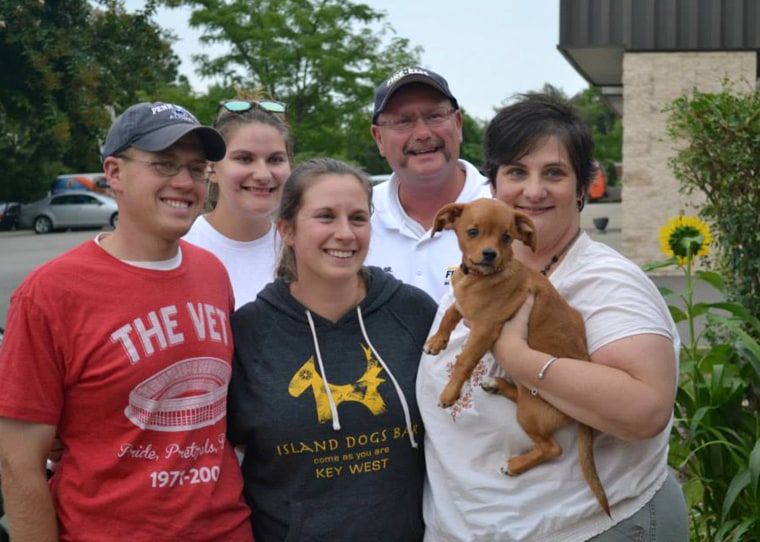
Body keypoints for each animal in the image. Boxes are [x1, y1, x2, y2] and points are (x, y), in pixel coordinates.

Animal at [422, 199, 612, 520]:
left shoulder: (485, 329)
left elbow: (464, 361)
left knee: (552, 448)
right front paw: (437, 341)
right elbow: (450, 313)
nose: (489, 254)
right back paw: (496, 384)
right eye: (472, 232)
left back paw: (514, 465)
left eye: (506, 237)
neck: (480, 277)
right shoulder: (467, 310)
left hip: (530, 413)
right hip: (528, 403)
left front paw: (450, 392)